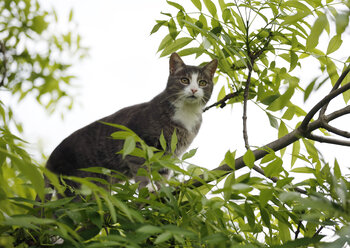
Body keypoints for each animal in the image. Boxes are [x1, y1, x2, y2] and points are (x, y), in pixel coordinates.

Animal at [45, 53, 217, 195]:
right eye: (184, 80)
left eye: (202, 82)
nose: (194, 89)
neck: (186, 114)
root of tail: (50, 161)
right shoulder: (138, 143)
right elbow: (142, 167)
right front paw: (148, 187)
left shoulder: (169, 155)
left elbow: (161, 174)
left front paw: (162, 190)